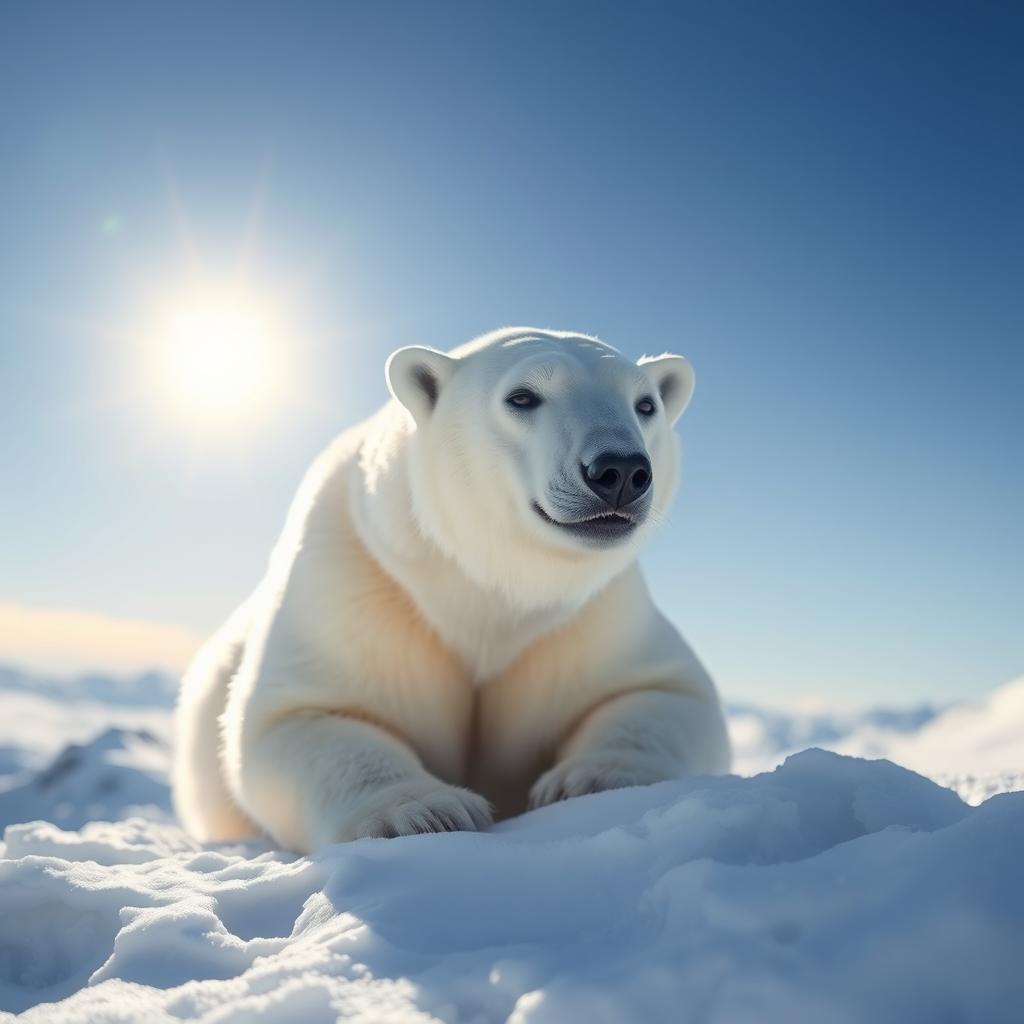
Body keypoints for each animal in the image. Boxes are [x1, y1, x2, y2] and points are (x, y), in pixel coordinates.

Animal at [178, 325, 737, 847]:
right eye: (523, 397)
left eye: (646, 404)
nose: (618, 469)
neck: (487, 584)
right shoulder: (360, 579)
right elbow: (301, 712)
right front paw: (425, 814)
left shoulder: (589, 616)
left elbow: (663, 691)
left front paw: (586, 782)